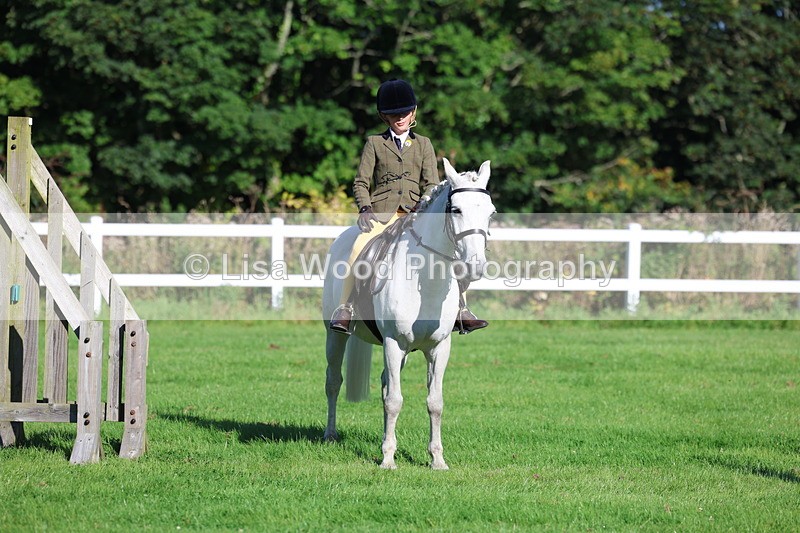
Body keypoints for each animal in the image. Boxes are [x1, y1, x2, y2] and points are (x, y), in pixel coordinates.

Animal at [322, 158, 495, 470]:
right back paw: (330, 435)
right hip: (335, 336)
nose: (475, 266)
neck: (425, 279)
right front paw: (388, 461)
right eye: (456, 209)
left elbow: (434, 402)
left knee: (383, 385)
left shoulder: (439, 347)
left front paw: (437, 460)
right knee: (333, 382)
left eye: (491, 212)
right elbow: (395, 401)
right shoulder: (393, 343)